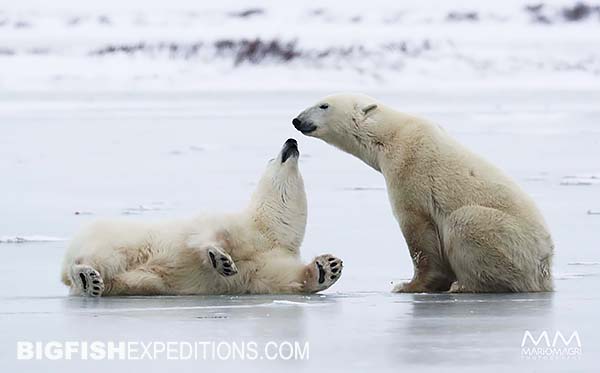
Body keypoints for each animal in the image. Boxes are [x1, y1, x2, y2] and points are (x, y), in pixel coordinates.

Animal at [62, 138, 342, 294]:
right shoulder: (235, 224)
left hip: (139, 279)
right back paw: (86, 276)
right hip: (115, 239)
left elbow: (277, 279)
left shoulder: (269, 259)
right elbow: (209, 234)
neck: (269, 230)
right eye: (272, 159)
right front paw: (222, 260)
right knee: (100, 257)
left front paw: (328, 268)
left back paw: (92, 283)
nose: (292, 141)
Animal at [294, 93, 552, 290]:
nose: (297, 120)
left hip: (511, 243)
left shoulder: (409, 164)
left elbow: (418, 229)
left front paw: (409, 285)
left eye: (324, 105)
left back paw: (464, 285)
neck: (390, 135)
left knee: (465, 221)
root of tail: (545, 267)